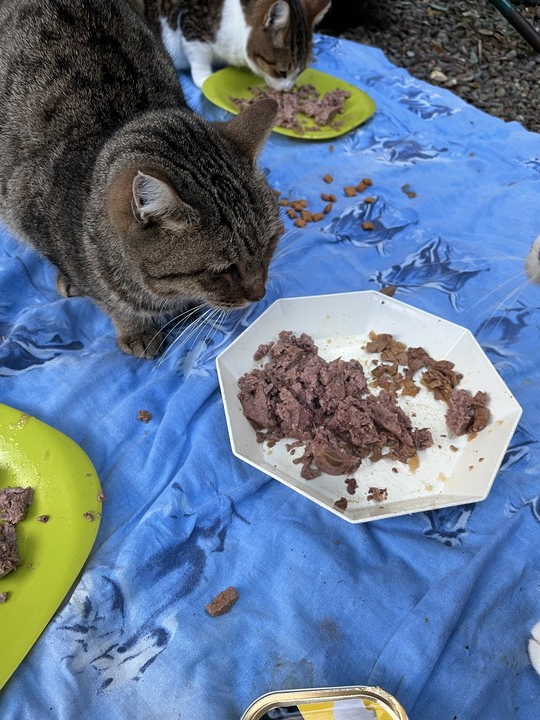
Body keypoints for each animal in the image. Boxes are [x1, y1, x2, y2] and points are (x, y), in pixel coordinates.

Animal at [0, 0, 284, 359]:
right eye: (223, 270)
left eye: (271, 243)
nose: (260, 294)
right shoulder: (24, 212)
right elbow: (107, 298)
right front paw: (133, 325)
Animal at [133, 0, 332, 90]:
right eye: (281, 72)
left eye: (301, 71)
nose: (287, 89)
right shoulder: (191, 25)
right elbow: (199, 57)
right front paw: (206, 79)